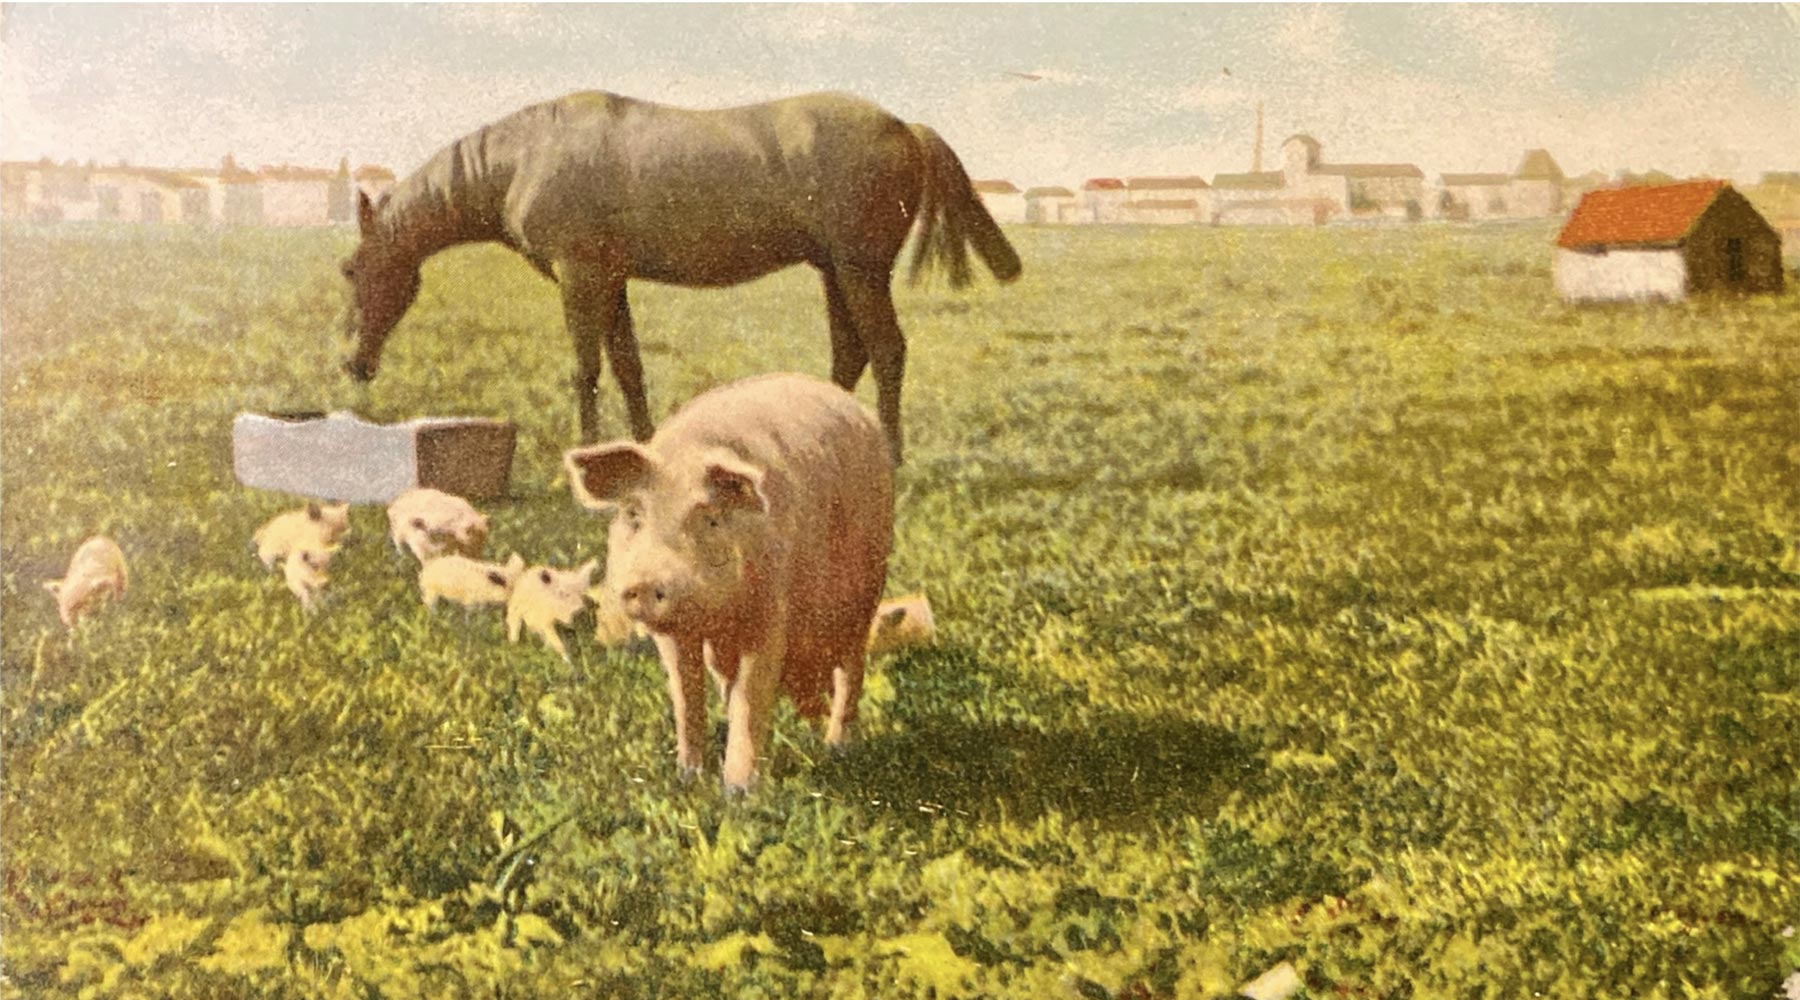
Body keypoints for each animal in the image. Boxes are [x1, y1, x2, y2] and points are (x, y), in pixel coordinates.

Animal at [339, 90, 1022, 464]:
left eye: (349, 269)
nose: (353, 364)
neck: (526, 156)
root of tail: (904, 125)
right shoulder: (610, 279)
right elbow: (627, 365)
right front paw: (642, 446)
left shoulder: (580, 277)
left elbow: (586, 368)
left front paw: (583, 451)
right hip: (836, 271)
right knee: (850, 353)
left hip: (860, 270)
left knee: (885, 350)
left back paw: (893, 457)